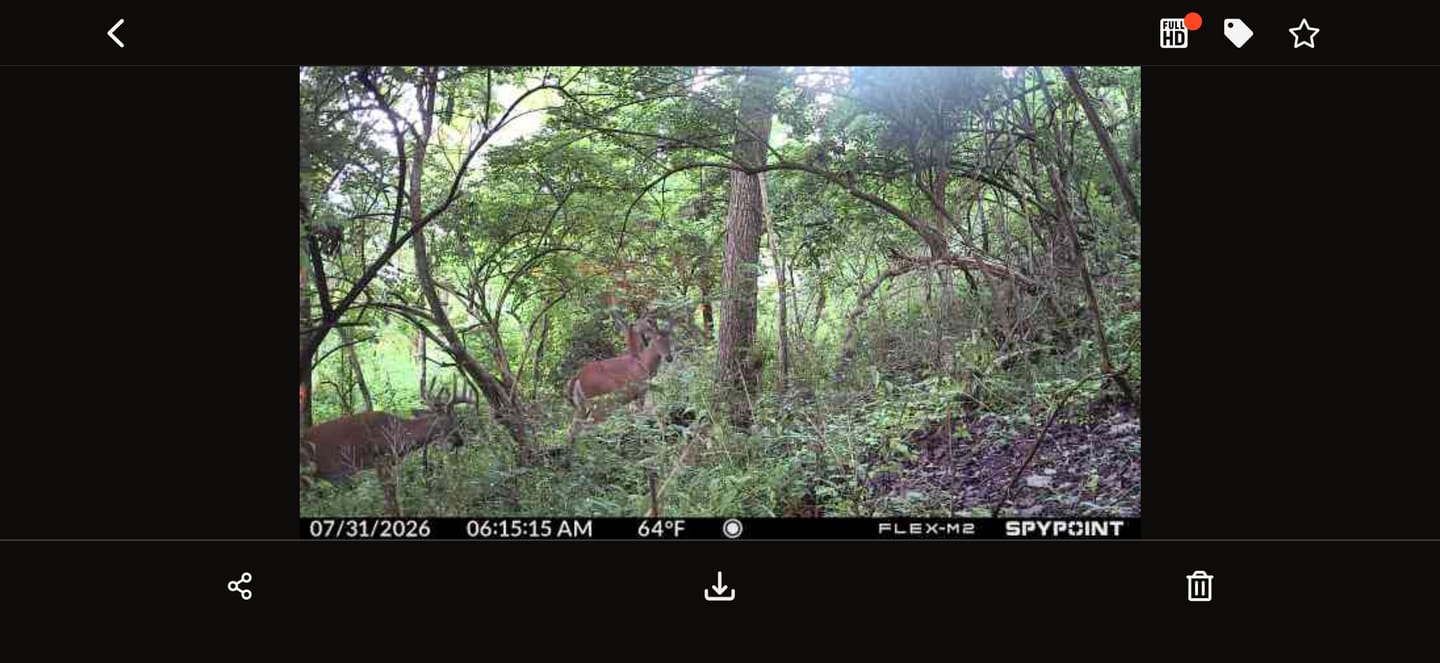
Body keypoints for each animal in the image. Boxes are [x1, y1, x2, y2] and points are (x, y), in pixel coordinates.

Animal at [300, 379, 474, 516]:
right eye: (454, 421)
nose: (460, 441)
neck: (398, 434)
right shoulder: (381, 459)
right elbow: (391, 499)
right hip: (309, 471)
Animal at [567, 317, 674, 449]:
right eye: (657, 339)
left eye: (669, 339)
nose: (669, 357)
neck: (643, 363)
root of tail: (578, 378)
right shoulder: (640, 390)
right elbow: (642, 417)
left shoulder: (632, 398)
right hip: (601, 403)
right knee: (590, 427)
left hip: (581, 406)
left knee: (572, 429)